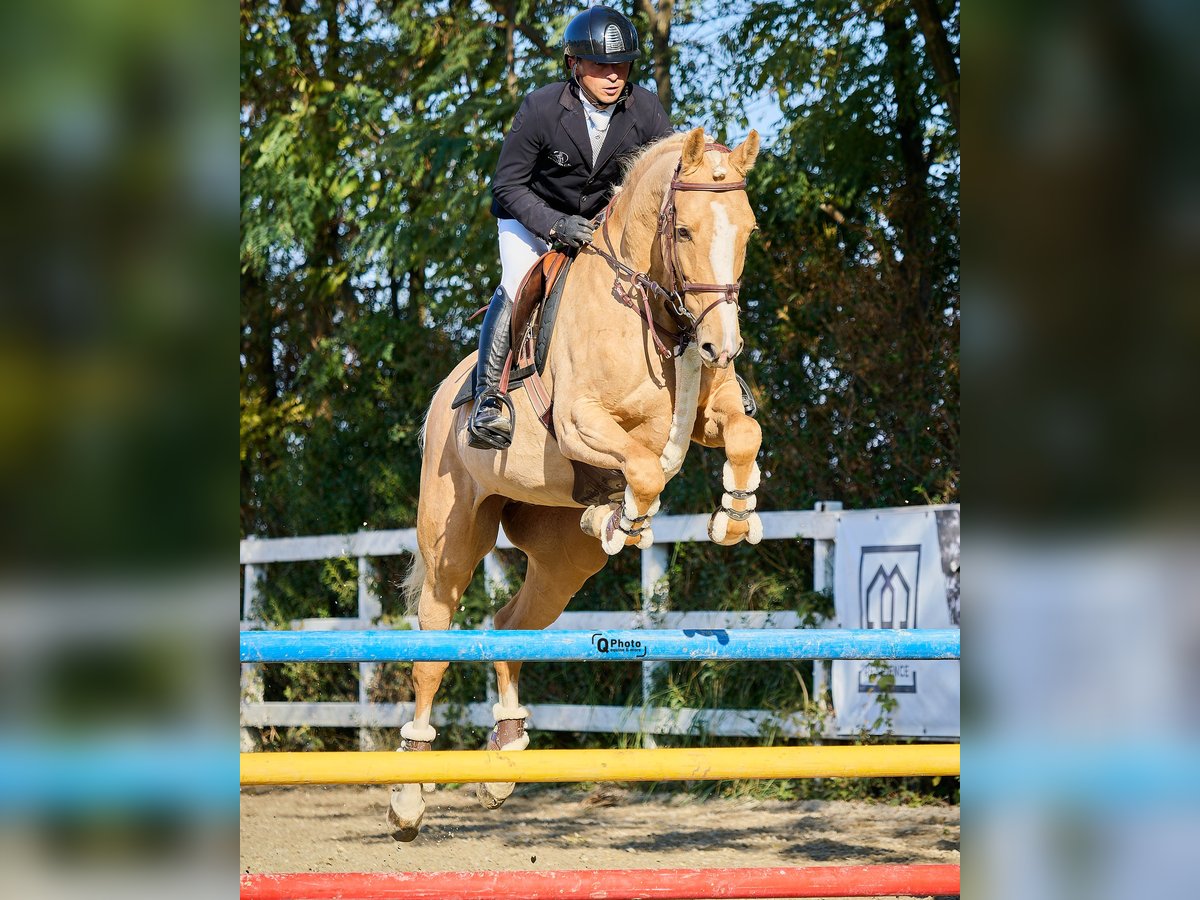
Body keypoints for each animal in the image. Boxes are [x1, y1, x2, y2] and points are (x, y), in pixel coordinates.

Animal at [393, 128, 768, 844]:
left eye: (748, 230)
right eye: (683, 229)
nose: (722, 348)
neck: (655, 314)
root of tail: (442, 396)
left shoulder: (709, 414)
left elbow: (742, 434)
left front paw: (733, 516)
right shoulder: (579, 421)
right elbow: (645, 468)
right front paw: (628, 519)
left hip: (563, 562)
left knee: (509, 626)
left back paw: (503, 758)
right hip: (452, 540)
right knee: (434, 643)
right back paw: (408, 793)